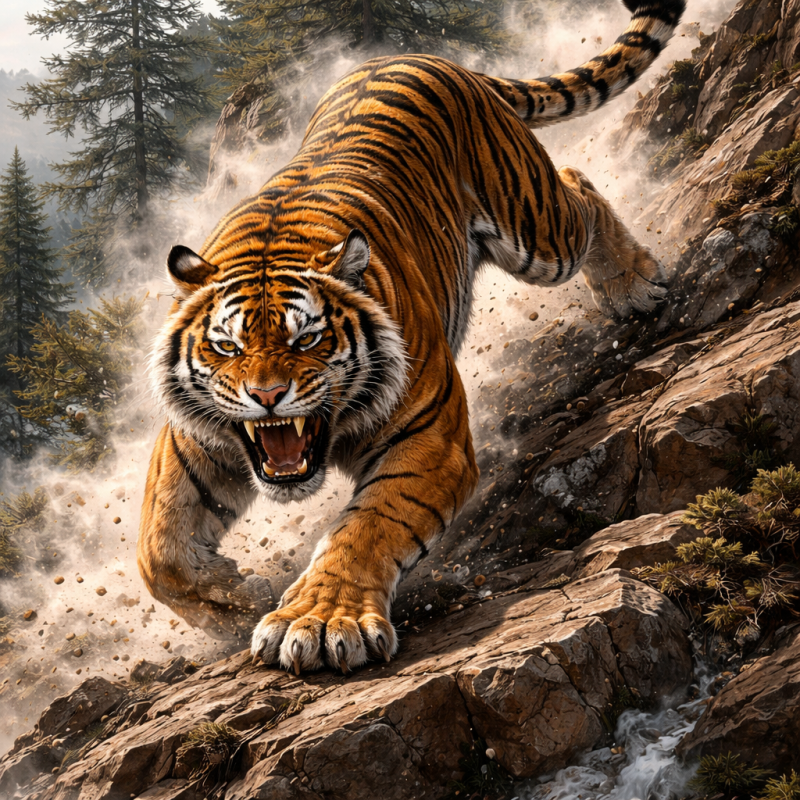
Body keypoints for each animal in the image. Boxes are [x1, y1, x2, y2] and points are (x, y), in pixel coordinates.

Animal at [138, 0, 685, 675]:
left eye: (306, 340)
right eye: (227, 348)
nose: (267, 399)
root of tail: (429, 57)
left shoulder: (430, 438)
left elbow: (368, 526)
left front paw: (320, 621)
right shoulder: (193, 440)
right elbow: (160, 553)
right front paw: (239, 598)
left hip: (537, 229)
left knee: (578, 184)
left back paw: (634, 285)